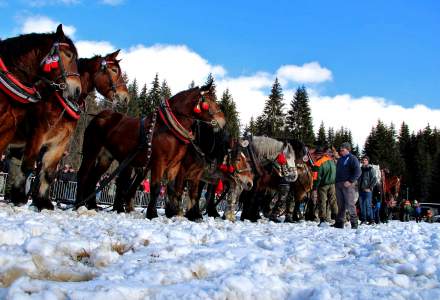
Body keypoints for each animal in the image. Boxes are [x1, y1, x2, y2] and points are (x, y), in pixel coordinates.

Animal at [7, 50, 128, 209]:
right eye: (114, 70)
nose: (126, 97)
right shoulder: (38, 135)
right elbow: (31, 167)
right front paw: (27, 199)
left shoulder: (60, 140)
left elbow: (47, 171)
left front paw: (40, 201)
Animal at [75, 82, 225, 218]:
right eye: (209, 100)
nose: (222, 121)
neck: (169, 128)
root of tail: (100, 116)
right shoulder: (159, 162)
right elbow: (156, 187)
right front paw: (152, 213)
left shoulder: (175, 165)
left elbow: (171, 189)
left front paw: (173, 212)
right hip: (91, 150)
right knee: (84, 174)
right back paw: (78, 204)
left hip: (106, 157)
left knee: (94, 178)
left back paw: (92, 205)